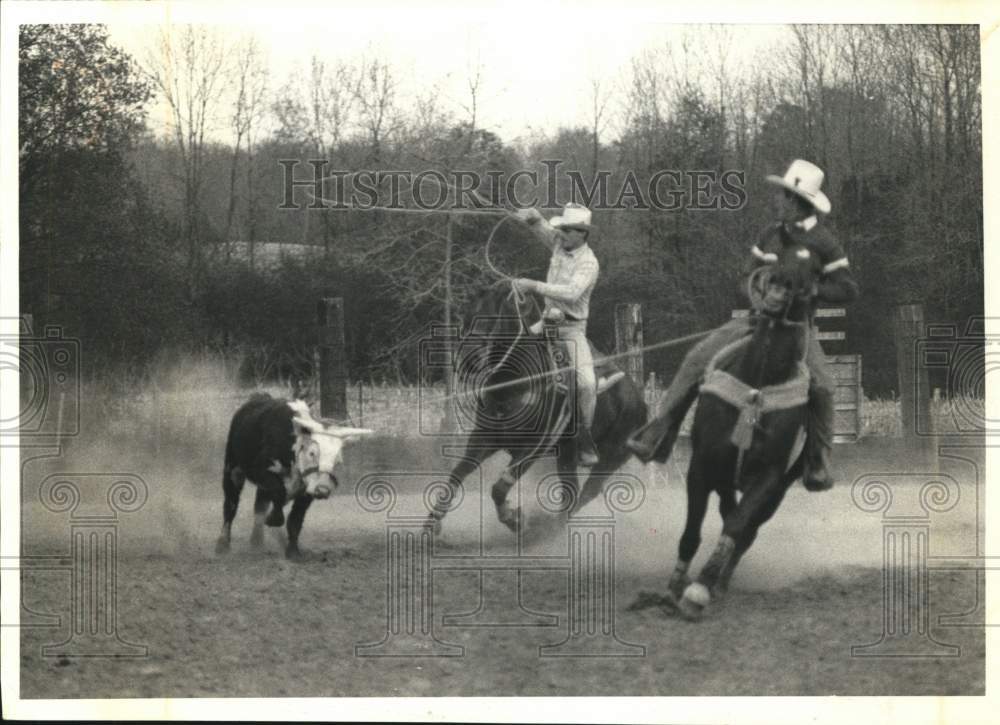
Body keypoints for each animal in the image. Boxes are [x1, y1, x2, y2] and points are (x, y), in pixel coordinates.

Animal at [217, 394, 374, 556]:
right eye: (312, 453)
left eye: (337, 461)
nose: (322, 490)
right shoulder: (261, 470)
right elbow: (279, 492)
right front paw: (274, 519)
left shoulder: (307, 492)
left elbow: (295, 521)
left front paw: (293, 551)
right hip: (233, 470)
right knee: (230, 506)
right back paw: (223, 544)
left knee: (259, 506)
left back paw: (257, 542)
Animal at [424, 282, 644, 532]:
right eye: (467, 315)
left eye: (495, 317)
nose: (468, 361)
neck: (515, 383)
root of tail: (641, 401)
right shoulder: (485, 436)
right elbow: (458, 472)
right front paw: (432, 523)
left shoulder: (533, 448)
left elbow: (499, 488)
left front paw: (514, 519)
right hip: (566, 456)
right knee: (571, 493)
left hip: (610, 458)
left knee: (587, 493)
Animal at [648, 240, 820, 620]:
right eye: (776, 258)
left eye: (809, 273)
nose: (779, 286)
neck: (757, 383)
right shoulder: (701, 466)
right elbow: (691, 532)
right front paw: (672, 588)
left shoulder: (770, 475)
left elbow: (738, 526)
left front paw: (699, 589)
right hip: (725, 475)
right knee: (728, 508)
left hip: (778, 489)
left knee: (747, 528)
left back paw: (720, 583)